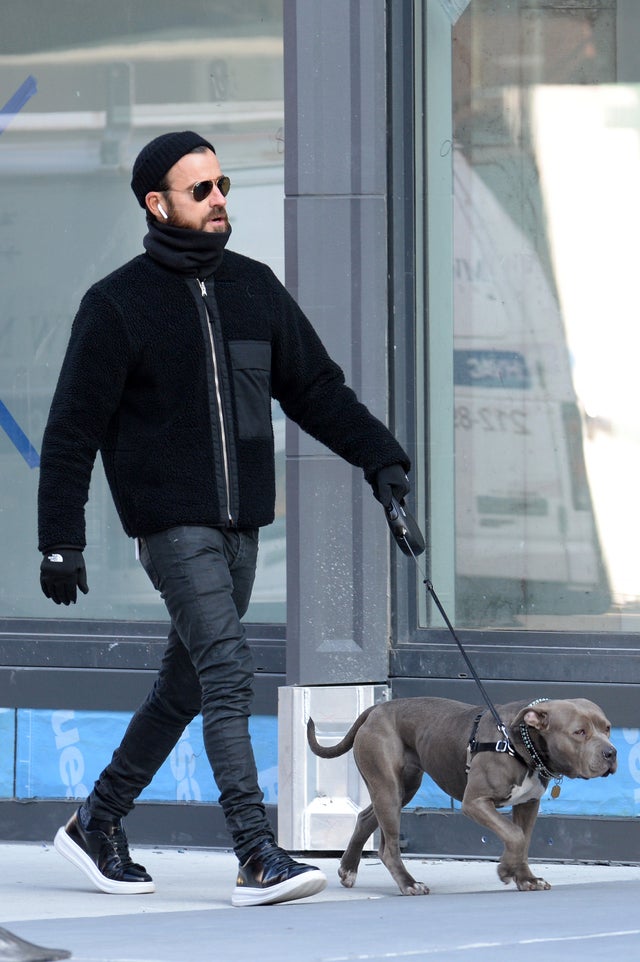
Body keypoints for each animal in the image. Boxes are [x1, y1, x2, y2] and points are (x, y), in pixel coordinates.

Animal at [308, 696, 616, 892]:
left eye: (607, 728)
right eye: (579, 732)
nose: (611, 752)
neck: (520, 743)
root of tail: (377, 708)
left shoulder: (528, 804)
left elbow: (523, 840)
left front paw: (526, 878)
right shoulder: (476, 802)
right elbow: (514, 835)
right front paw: (505, 870)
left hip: (401, 788)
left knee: (365, 817)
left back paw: (348, 869)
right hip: (388, 788)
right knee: (388, 847)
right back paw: (409, 884)